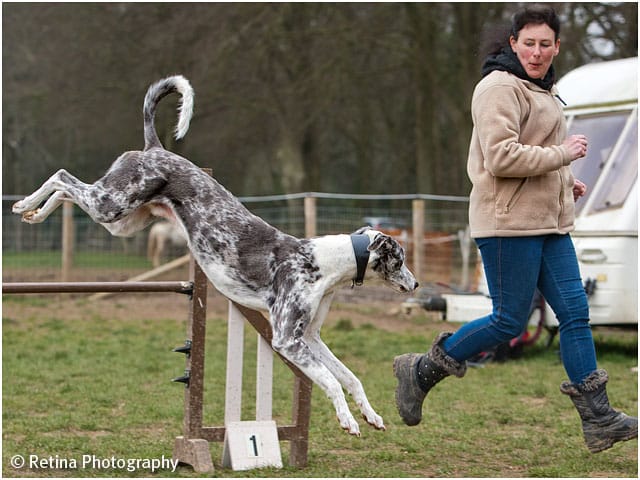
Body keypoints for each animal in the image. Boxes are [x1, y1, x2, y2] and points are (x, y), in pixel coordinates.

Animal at [13, 74, 420, 436]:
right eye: (400, 259)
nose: (416, 284)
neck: (323, 263)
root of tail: (154, 147)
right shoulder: (287, 339)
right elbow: (332, 383)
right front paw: (348, 421)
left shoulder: (311, 337)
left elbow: (351, 378)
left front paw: (371, 415)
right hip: (110, 204)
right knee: (62, 176)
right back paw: (23, 204)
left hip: (122, 221)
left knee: (66, 190)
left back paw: (35, 213)